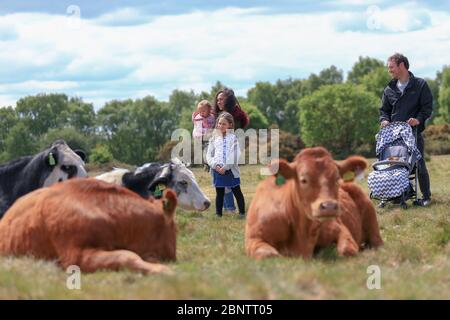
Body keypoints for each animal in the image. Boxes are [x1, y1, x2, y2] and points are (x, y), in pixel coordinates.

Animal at [246, 148, 384, 260]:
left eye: (336, 178)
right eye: (303, 180)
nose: (329, 206)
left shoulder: (340, 228)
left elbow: (346, 250)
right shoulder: (254, 238)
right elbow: (270, 254)